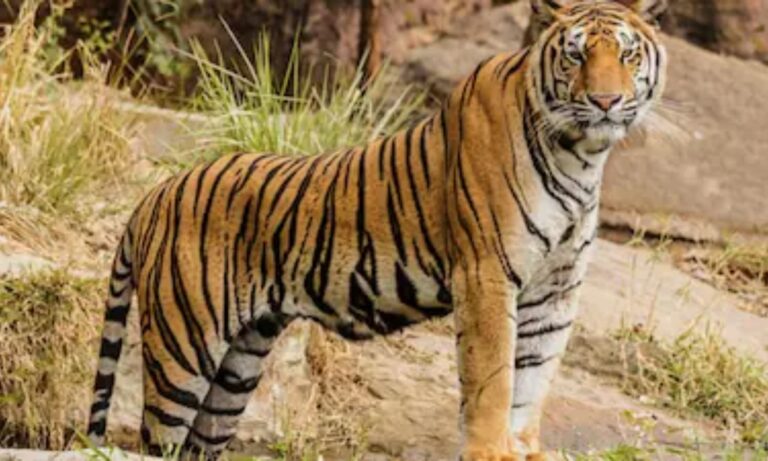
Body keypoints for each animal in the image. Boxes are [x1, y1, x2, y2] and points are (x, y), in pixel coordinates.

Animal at [87, 1, 667, 459]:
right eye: (576, 55)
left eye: (626, 55)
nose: (606, 102)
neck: (581, 155)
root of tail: (156, 193)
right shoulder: (487, 275)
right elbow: (494, 380)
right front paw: (491, 451)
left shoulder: (556, 290)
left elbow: (533, 381)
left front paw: (522, 449)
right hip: (183, 349)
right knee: (157, 438)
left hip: (238, 364)